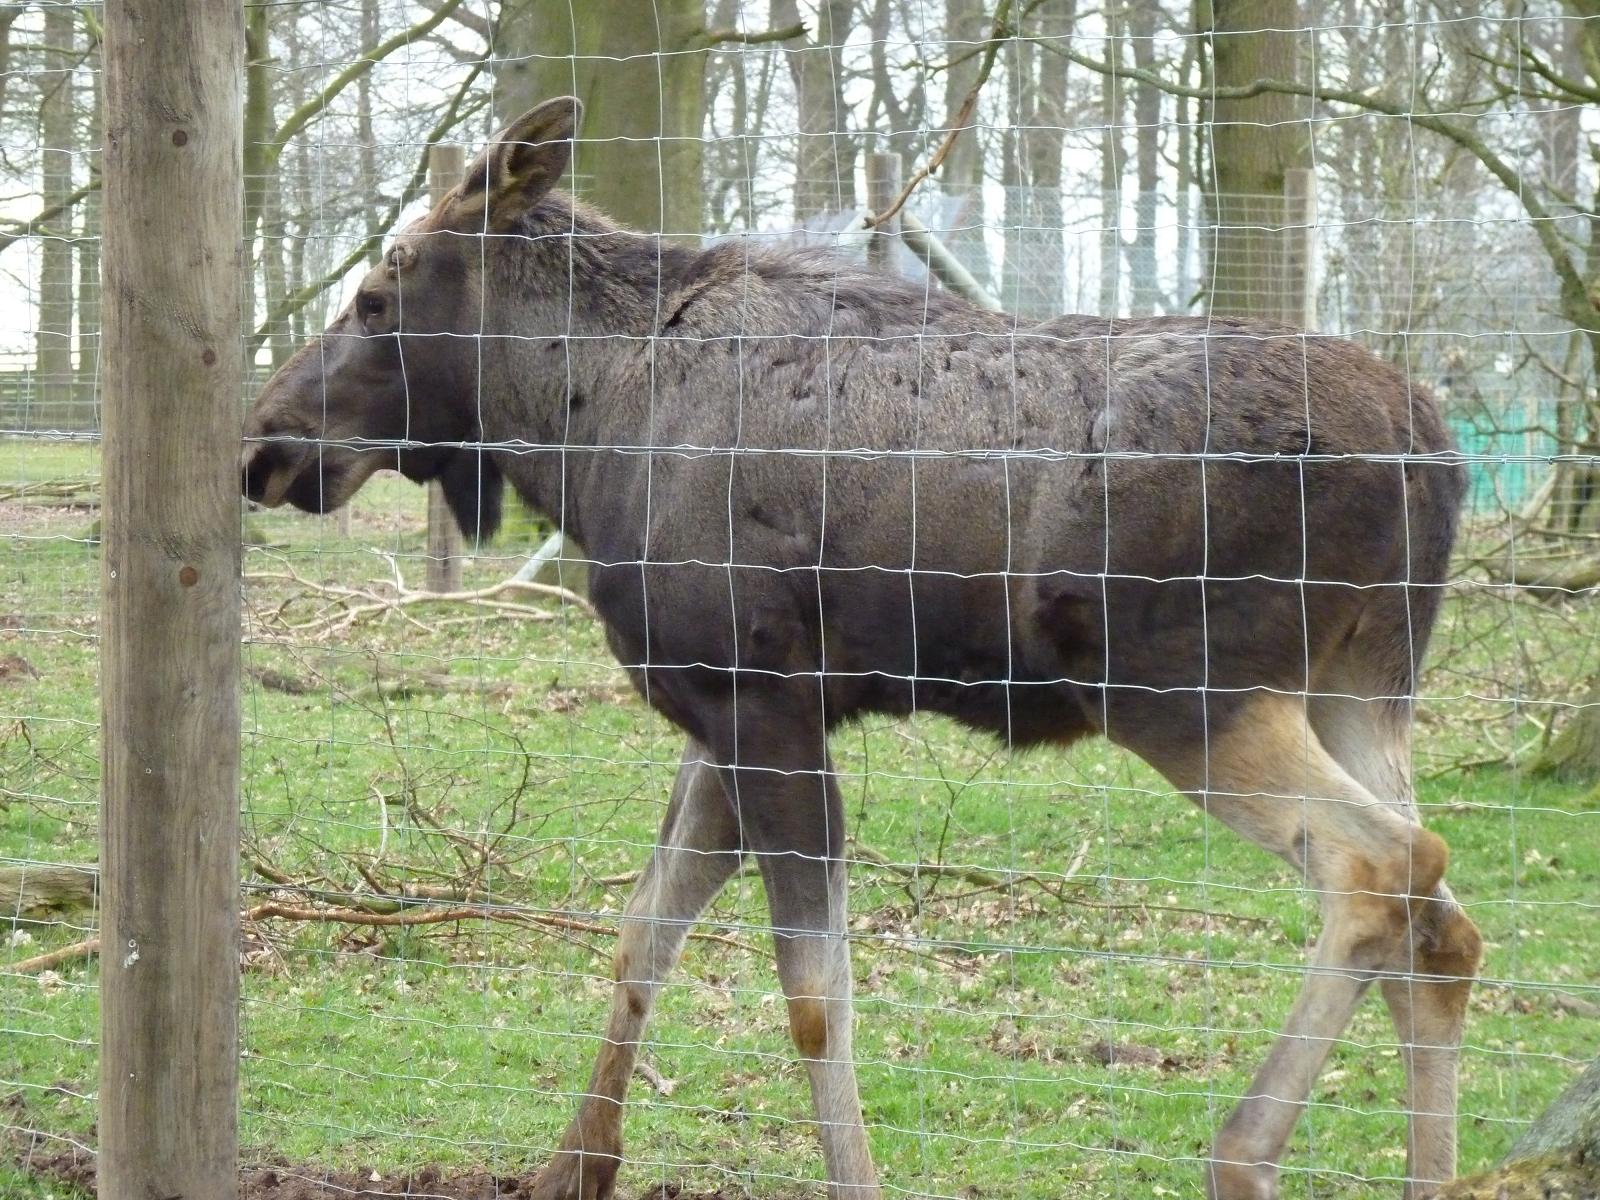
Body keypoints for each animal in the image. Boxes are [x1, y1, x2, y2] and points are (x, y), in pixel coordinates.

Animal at [241, 98, 1483, 1200]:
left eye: (376, 292)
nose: (265, 442)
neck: (578, 435)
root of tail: (1433, 449)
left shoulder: (759, 697)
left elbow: (811, 994)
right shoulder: (720, 707)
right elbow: (642, 934)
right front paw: (573, 1170)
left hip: (1184, 688)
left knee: (1380, 866)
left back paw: (1239, 1153)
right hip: (1358, 685)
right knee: (1443, 922)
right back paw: (1427, 1177)